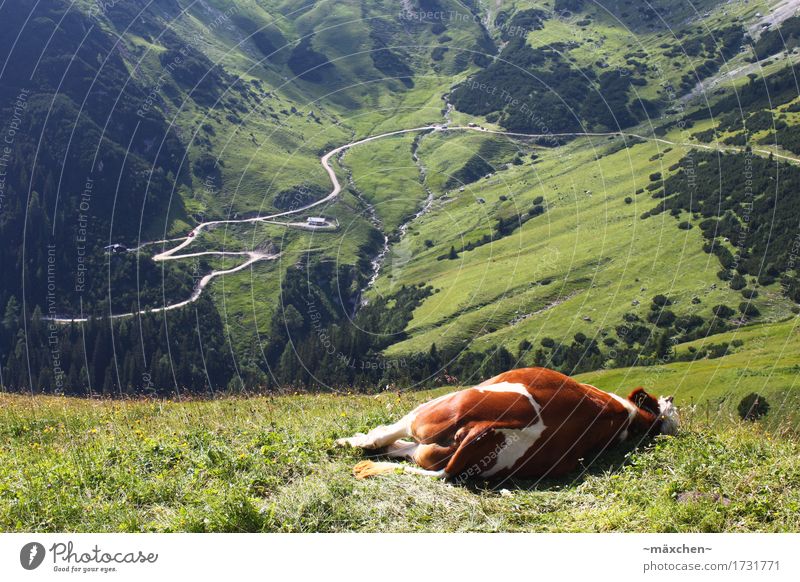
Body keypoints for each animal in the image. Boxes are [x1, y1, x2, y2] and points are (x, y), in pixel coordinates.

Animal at [334, 370, 680, 484]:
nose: (672, 395)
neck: (627, 415)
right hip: (432, 450)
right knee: (401, 449)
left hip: (436, 409)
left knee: (389, 434)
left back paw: (350, 441)